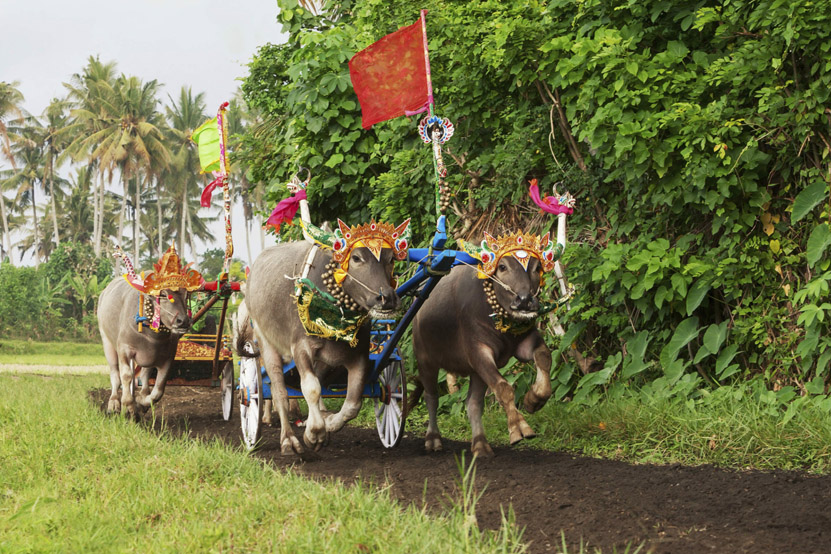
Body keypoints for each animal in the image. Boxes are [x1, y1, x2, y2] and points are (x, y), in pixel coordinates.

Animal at [245, 218, 412, 450]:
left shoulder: (359, 356)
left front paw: (329, 423)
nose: (386, 298)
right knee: (278, 392)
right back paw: (288, 439)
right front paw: (315, 432)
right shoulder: (300, 348)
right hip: (265, 342)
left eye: (390, 259)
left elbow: (353, 403)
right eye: (357, 258)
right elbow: (311, 389)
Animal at [412, 230, 564, 458]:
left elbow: (544, 358)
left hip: (475, 372)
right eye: (502, 267)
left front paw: (534, 400)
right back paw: (433, 439)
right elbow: (504, 388)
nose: (524, 300)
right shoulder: (478, 351)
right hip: (425, 360)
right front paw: (519, 428)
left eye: (537, 267)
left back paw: (480, 444)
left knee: (473, 404)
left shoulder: (525, 342)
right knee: (432, 397)